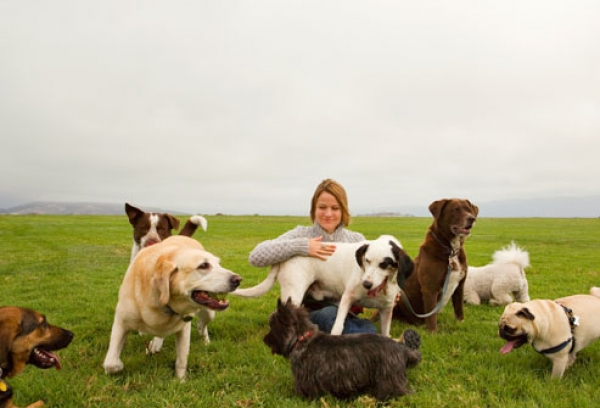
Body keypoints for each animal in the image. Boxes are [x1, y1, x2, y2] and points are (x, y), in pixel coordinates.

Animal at [103, 236, 241, 380]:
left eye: (219, 264)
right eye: (203, 266)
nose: (238, 279)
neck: (163, 304)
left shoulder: (184, 328)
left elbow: (182, 360)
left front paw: (180, 380)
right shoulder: (121, 322)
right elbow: (111, 363)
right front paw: (117, 366)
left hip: (209, 314)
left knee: (202, 326)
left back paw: (205, 341)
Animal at [394, 198, 478, 332]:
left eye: (469, 209)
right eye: (455, 209)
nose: (472, 218)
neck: (451, 250)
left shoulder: (460, 285)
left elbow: (459, 308)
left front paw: (460, 323)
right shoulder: (430, 288)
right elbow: (431, 314)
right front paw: (433, 332)